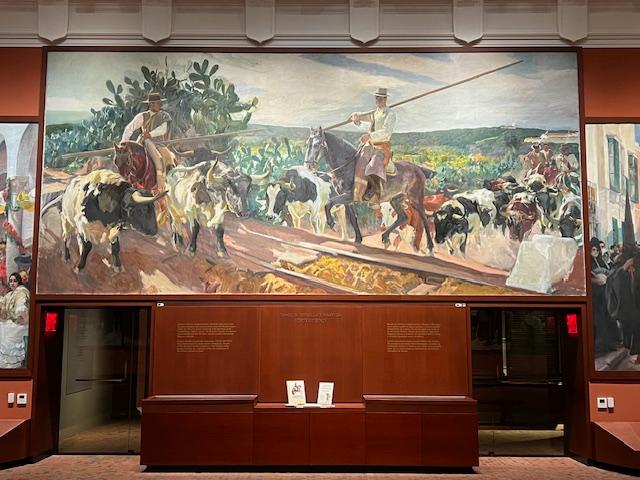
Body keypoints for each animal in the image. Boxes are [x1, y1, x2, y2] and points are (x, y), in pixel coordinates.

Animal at [304, 127, 435, 253]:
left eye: (317, 144)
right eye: (308, 144)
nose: (308, 166)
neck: (348, 166)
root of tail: (418, 169)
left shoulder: (350, 195)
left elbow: (329, 203)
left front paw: (332, 224)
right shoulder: (348, 199)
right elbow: (353, 218)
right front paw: (358, 239)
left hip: (416, 199)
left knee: (424, 218)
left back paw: (430, 247)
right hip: (395, 199)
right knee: (403, 217)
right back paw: (385, 237)